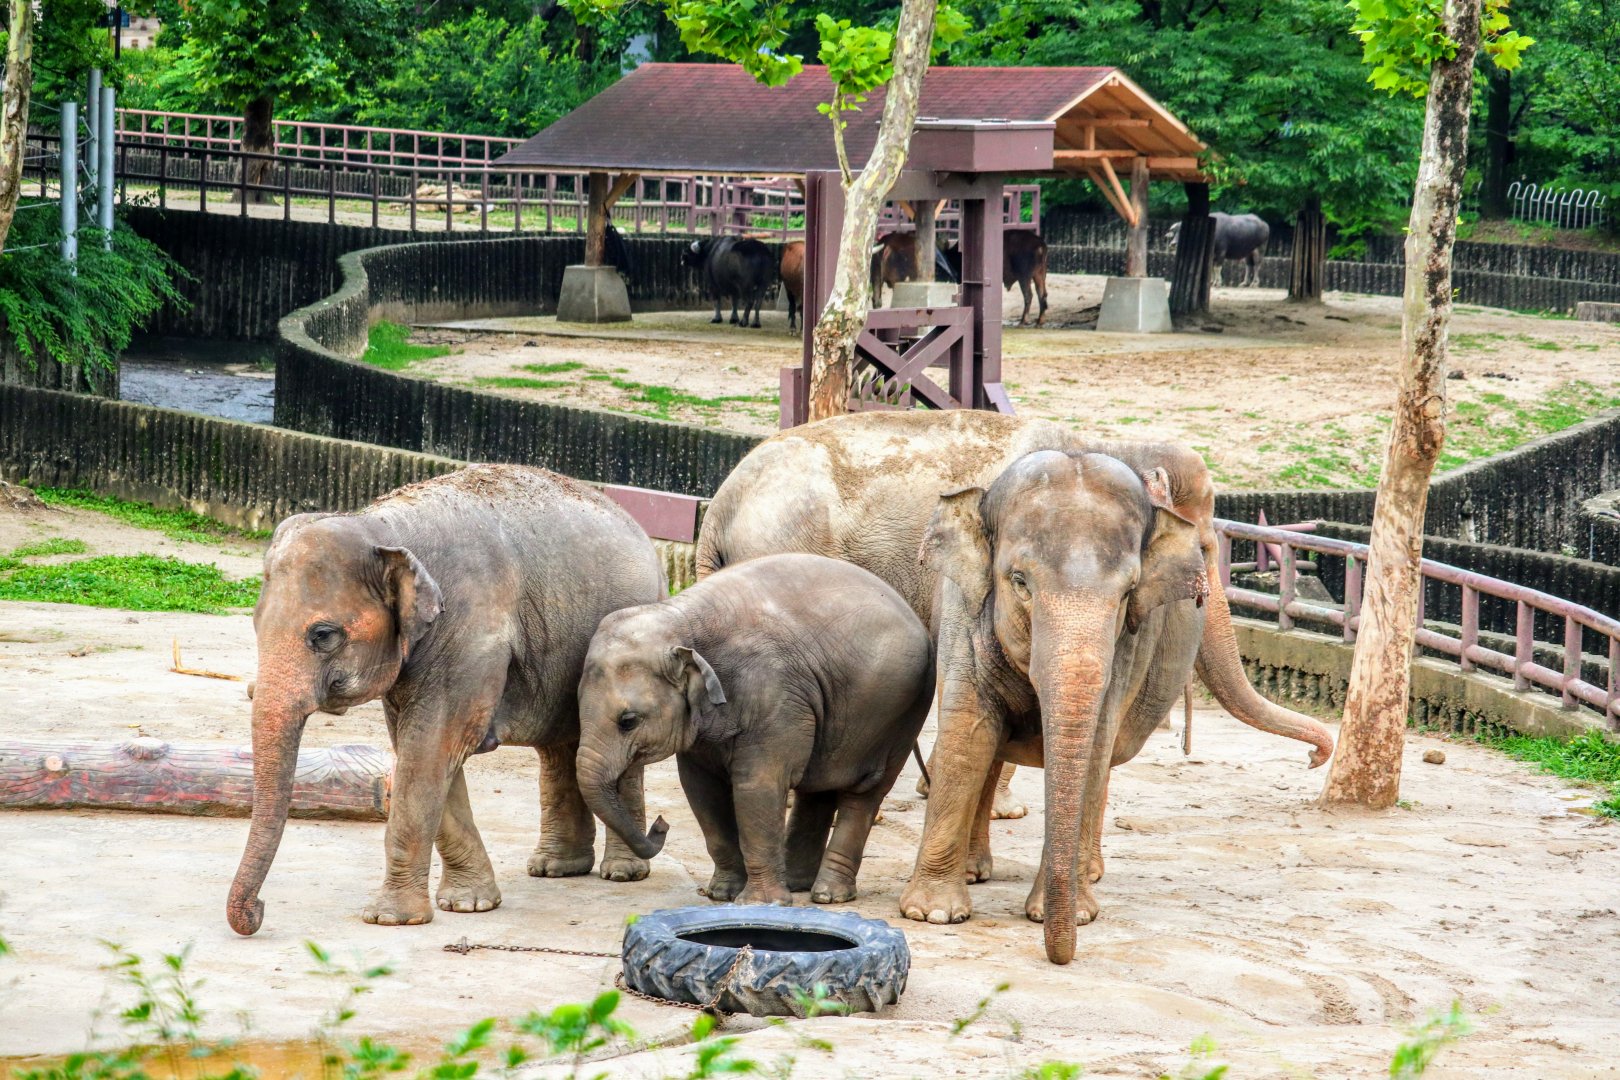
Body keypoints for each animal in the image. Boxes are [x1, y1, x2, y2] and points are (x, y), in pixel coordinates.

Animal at [226, 464, 666, 937]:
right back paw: (555, 869)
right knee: (559, 746)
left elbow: (431, 747)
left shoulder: (469, 633)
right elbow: (422, 751)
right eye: (255, 624)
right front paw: (468, 904)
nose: (260, 910)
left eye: (323, 635)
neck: (382, 527)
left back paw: (622, 872)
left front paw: (390, 918)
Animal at [576, 554, 934, 907]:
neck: (680, 619)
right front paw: (723, 894)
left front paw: (759, 905)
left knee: (865, 791)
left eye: (628, 721)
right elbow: (701, 789)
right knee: (817, 788)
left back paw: (828, 894)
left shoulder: (776, 697)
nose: (661, 823)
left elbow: (757, 786)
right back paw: (797, 884)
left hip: (901, 717)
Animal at [693, 410, 1335, 964]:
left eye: (1130, 591)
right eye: (1206, 547)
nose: (1314, 757)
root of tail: (721, 505)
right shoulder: (962, 592)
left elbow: (1089, 736)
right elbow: (974, 724)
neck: (1099, 438)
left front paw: (1049, 898)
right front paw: (941, 907)